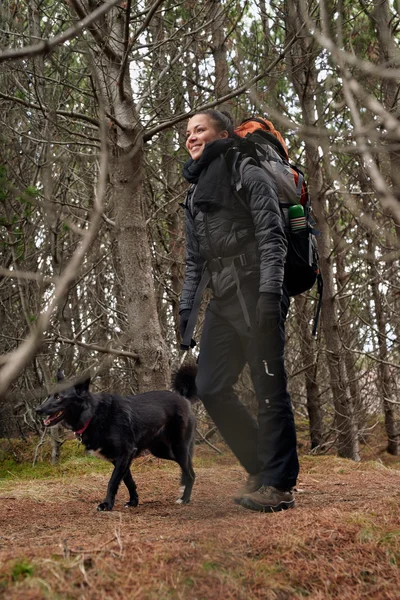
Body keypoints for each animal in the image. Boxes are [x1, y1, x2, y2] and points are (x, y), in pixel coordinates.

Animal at [37, 360, 198, 510]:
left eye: (58, 397)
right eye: (49, 396)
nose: (37, 410)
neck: (92, 414)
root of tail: (183, 398)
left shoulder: (125, 453)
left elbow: (112, 482)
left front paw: (107, 504)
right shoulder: (119, 459)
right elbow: (128, 481)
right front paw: (133, 502)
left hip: (178, 447)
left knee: (190, 473)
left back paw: (185, 499)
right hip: (162, 451)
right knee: (189, 470)